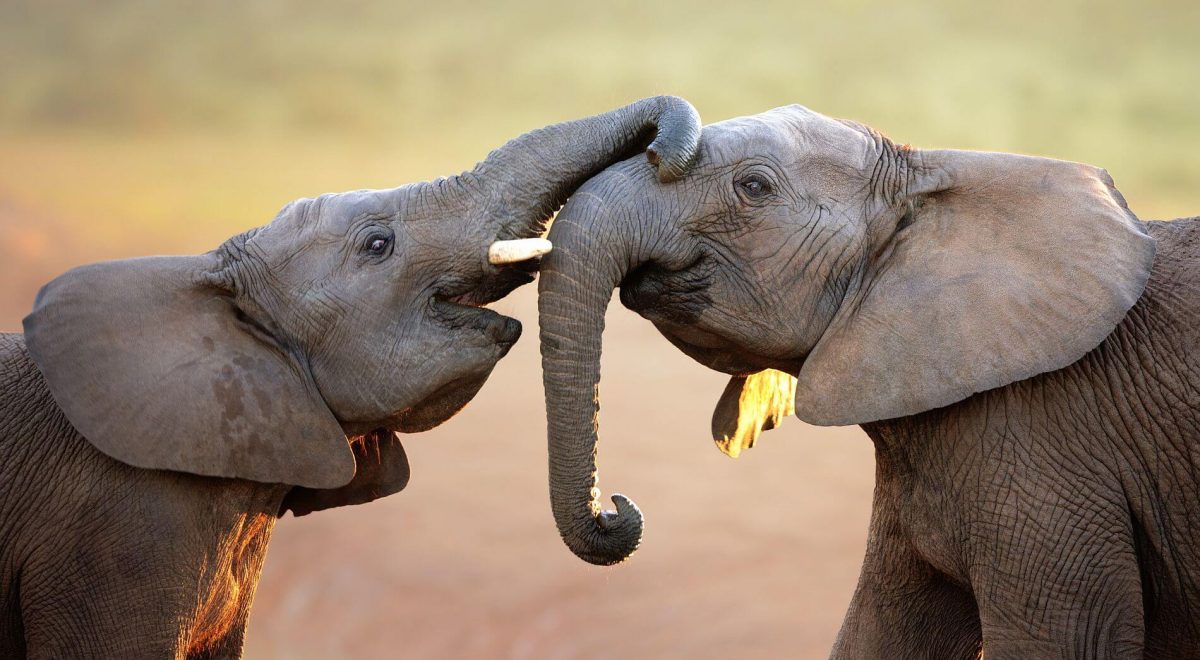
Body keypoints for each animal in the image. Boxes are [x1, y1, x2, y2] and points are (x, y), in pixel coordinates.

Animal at [536, 104, 1200, 658]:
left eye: (754, 187)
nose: (616, 509)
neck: (930, 177)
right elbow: (879, 633)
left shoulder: (1046, 441)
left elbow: (1065, 640)